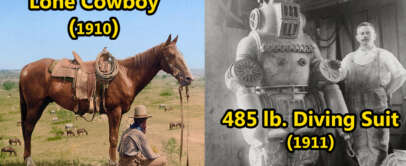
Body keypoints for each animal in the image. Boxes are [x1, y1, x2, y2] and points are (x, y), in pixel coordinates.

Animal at [19, 34, 194, 165]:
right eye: (171, 55)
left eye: (182, 54)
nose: (188, 78)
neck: (126, 75)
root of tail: (26, 68)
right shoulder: (114, 111)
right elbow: (113, 139)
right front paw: (112, 162)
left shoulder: (118, 113)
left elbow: (115, 137)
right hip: (35, 106)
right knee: (28, 129)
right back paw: (28, 160)